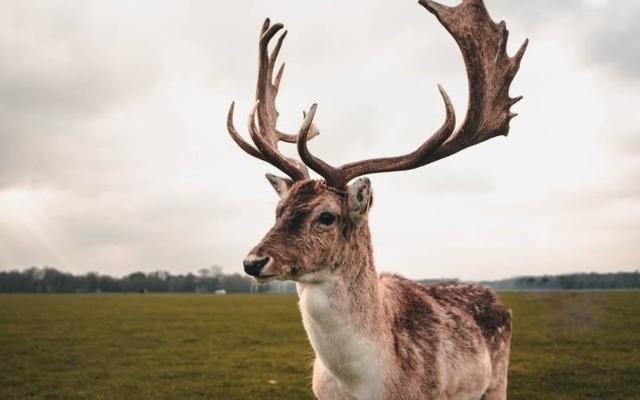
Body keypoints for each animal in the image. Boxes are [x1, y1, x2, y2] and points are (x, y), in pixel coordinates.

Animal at [224, 0, 524, 400]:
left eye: (326, 216)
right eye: (278, 210)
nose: (253, 261)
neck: (364, 384)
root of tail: (498, 301)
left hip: (497, 381)